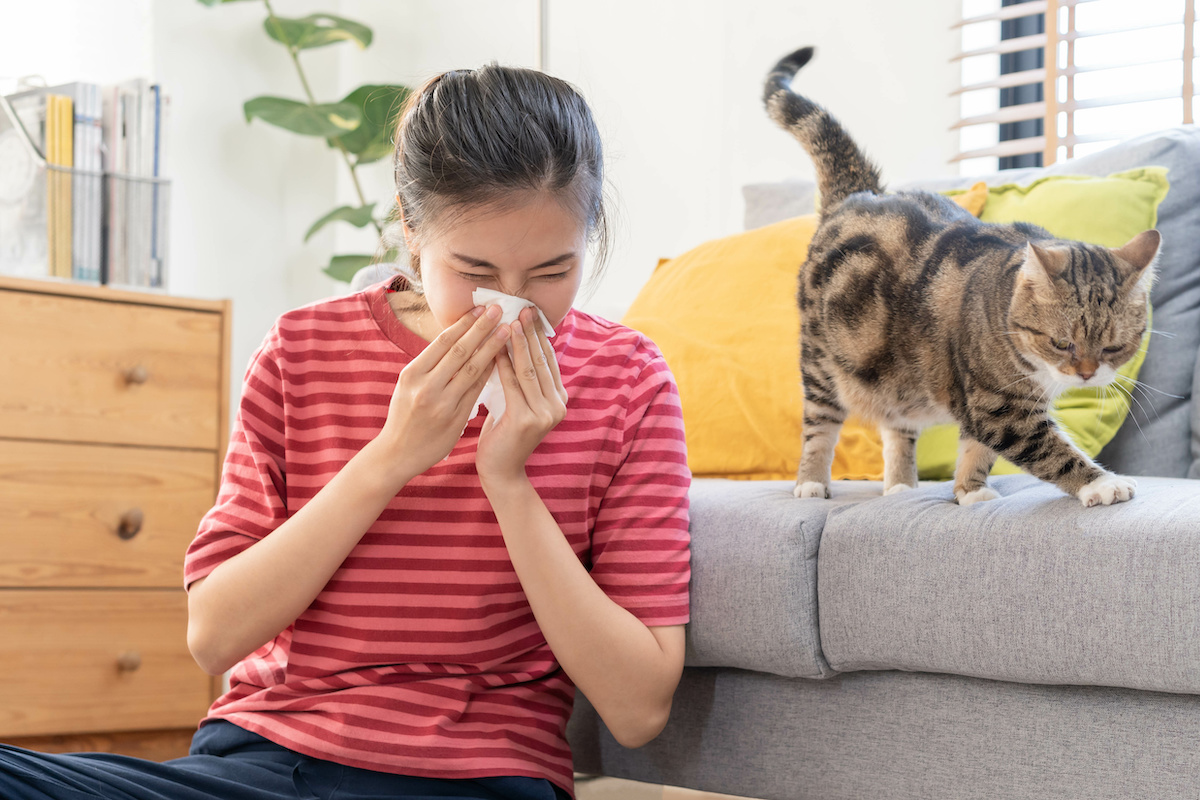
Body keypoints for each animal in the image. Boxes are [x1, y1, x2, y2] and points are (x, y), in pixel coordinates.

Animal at [763, 45, 1156, 506]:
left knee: (897, 426)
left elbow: (976, 450)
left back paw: (900, 487)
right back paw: (811, 482)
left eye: (1114, 347)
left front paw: (971, 490)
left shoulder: (985, 402)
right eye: (1062, 343)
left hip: (896, 371)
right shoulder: (999, 406)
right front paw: (1102, 482)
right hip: (822, 362)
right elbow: (1049, 451)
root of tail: (858, 194)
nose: (1087, 374)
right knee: (819, 426)